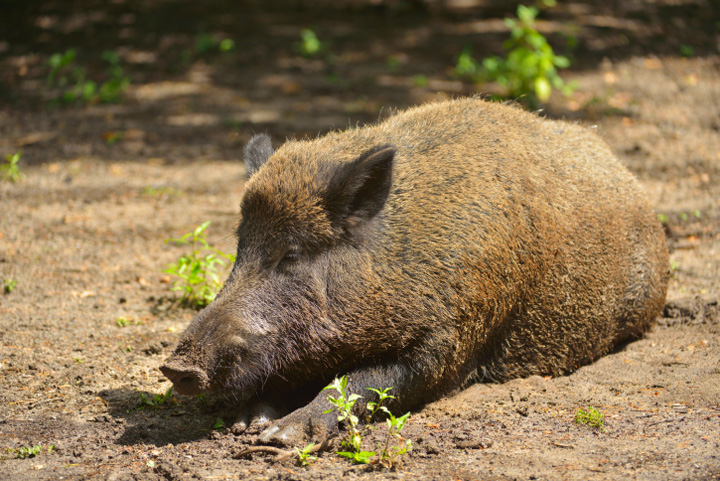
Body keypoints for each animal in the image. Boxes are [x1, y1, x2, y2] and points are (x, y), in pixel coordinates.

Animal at [160, 97, 669, 445]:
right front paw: (246, 425)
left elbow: (360, 382)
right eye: (240, 248)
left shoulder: (451, 341)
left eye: (292, 254)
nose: (175, 367)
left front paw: (278, 440)